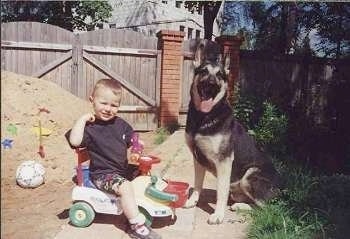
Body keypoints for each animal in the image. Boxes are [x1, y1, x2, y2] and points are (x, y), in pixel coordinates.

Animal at [185, 39, 280, 224]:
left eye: (220, 75)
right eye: (204, 71)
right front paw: (193, 201)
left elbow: (221, 192)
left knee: (266, 209)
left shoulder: (224, 162)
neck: (204, 117)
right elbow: (198, 184)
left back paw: (241, 207)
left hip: (250, 175)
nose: (211, 85)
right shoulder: (198, 159)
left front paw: (218, 215)